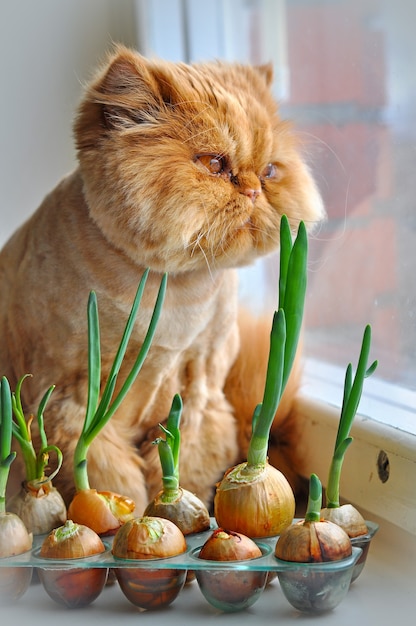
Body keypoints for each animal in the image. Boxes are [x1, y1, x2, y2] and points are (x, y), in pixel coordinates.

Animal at [0, 45, 324, 512]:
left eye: (269, 172)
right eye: (214, 164)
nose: (252, 190)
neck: (173, 295)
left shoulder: (199, 391)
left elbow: (184, 468)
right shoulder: (69, 401)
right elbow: (110, 479)